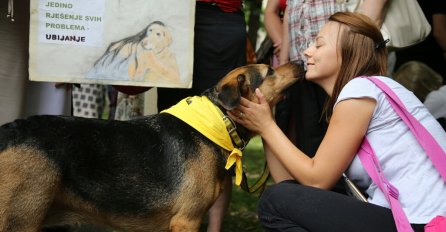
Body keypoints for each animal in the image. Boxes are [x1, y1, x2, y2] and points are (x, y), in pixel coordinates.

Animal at [0, 60, 304, 231]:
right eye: (270, 71)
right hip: (20, 219)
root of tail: (8, 131)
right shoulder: (187, 220)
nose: (302, 61)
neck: (218, 119)